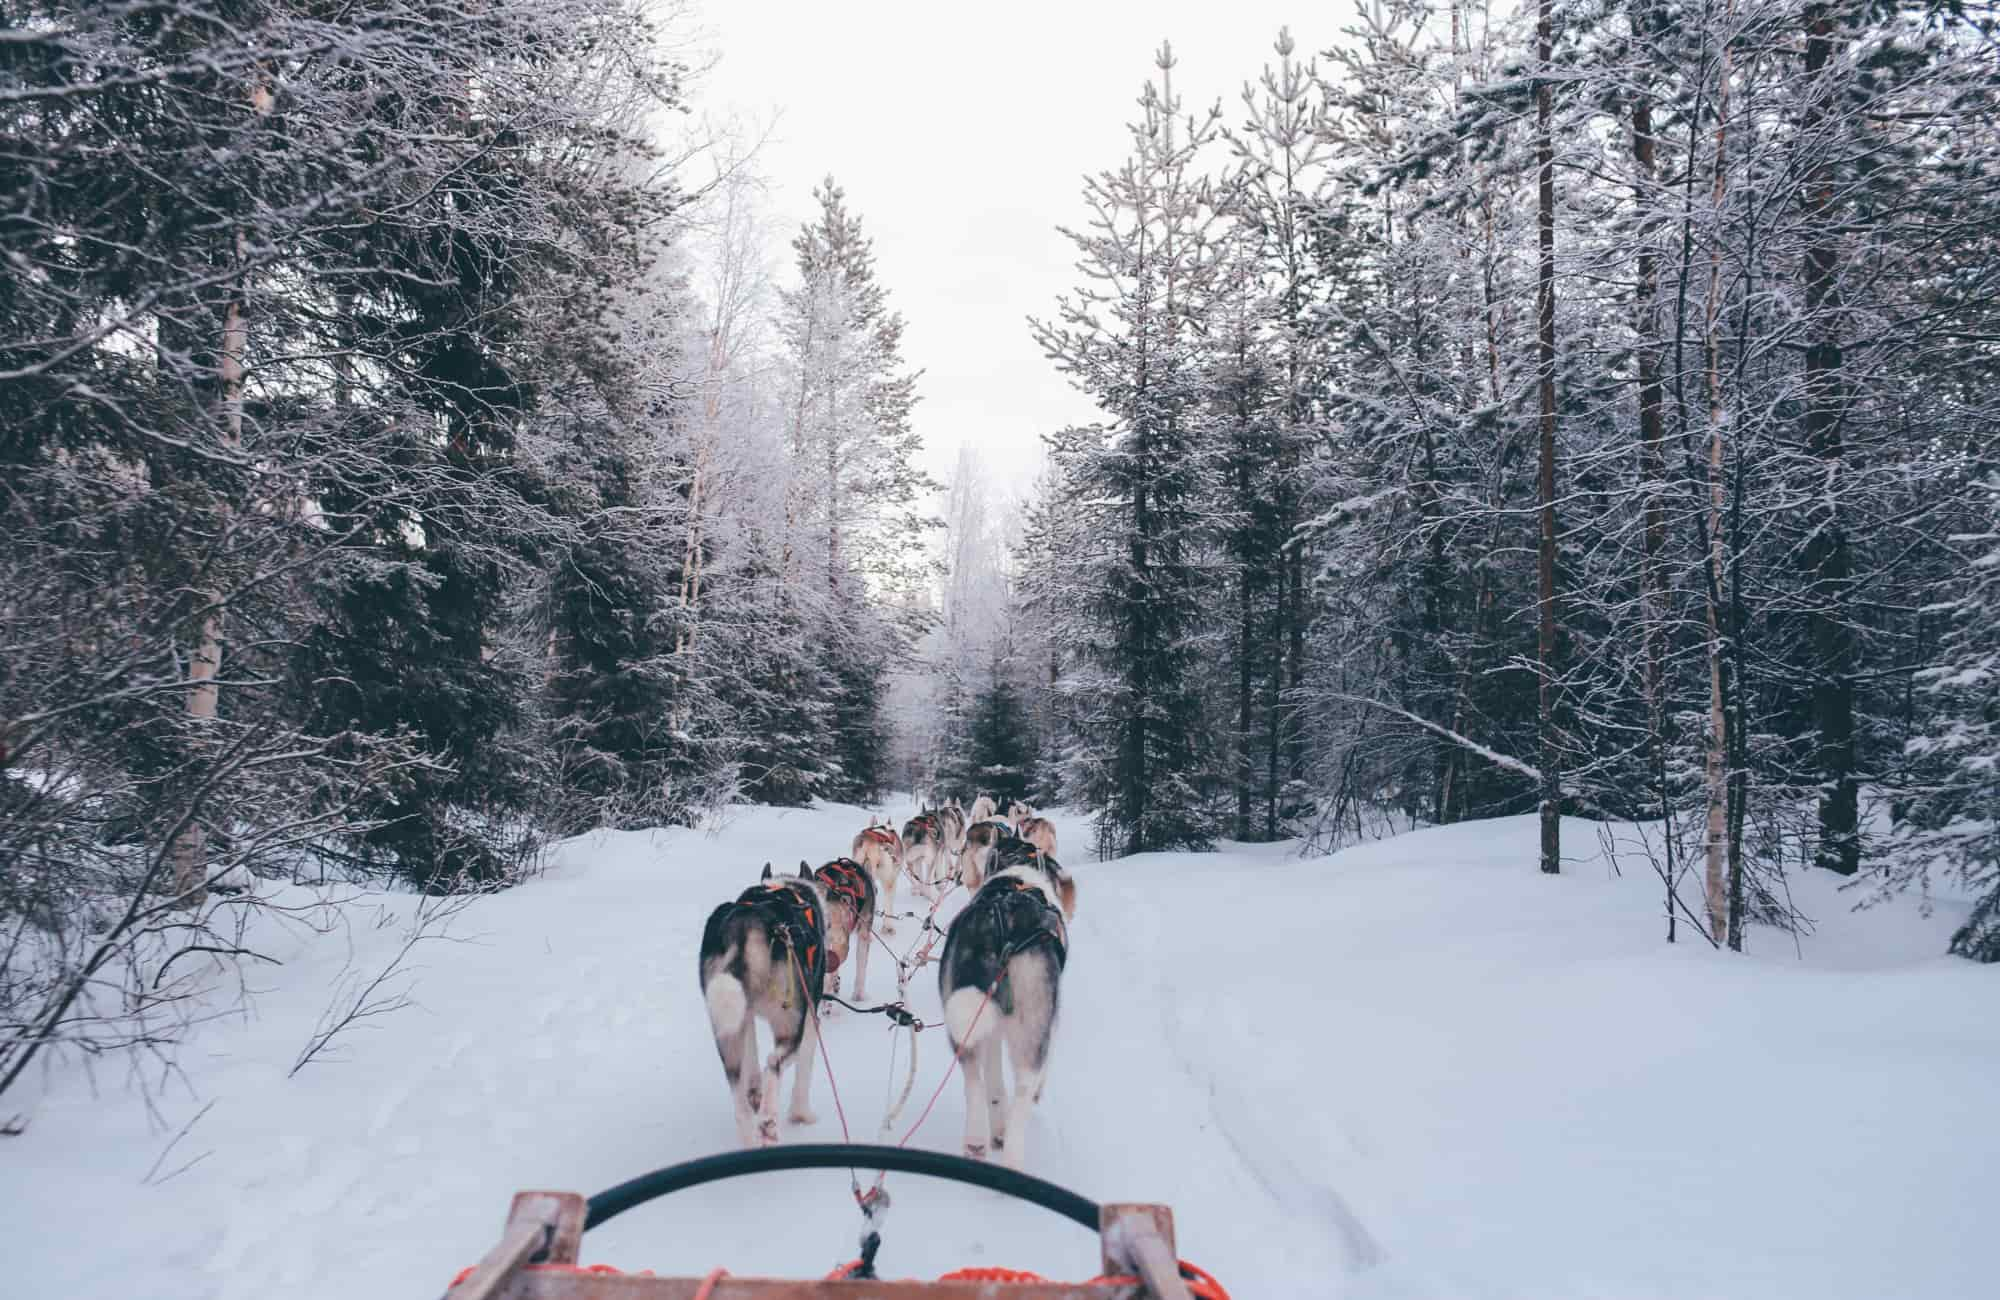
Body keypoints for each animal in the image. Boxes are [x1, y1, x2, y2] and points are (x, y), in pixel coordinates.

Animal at [704, 860, 828, 1144]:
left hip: (726, 1030)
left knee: (739, 1094)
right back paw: (768, 1118)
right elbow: (803, 1068)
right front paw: (801, 1114)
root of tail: (746, 923)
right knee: (774, 1063)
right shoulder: (809, 1017)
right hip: (789, 1020)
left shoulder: (745, 1015)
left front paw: (754, 1090)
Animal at [940, 836, 1080, 1168]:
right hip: (1032, 1032)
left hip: (967, 1023)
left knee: (978, 1084)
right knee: (1023, 1093)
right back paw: (1012, 1154)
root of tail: (997, 927)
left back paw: (979, 1140)